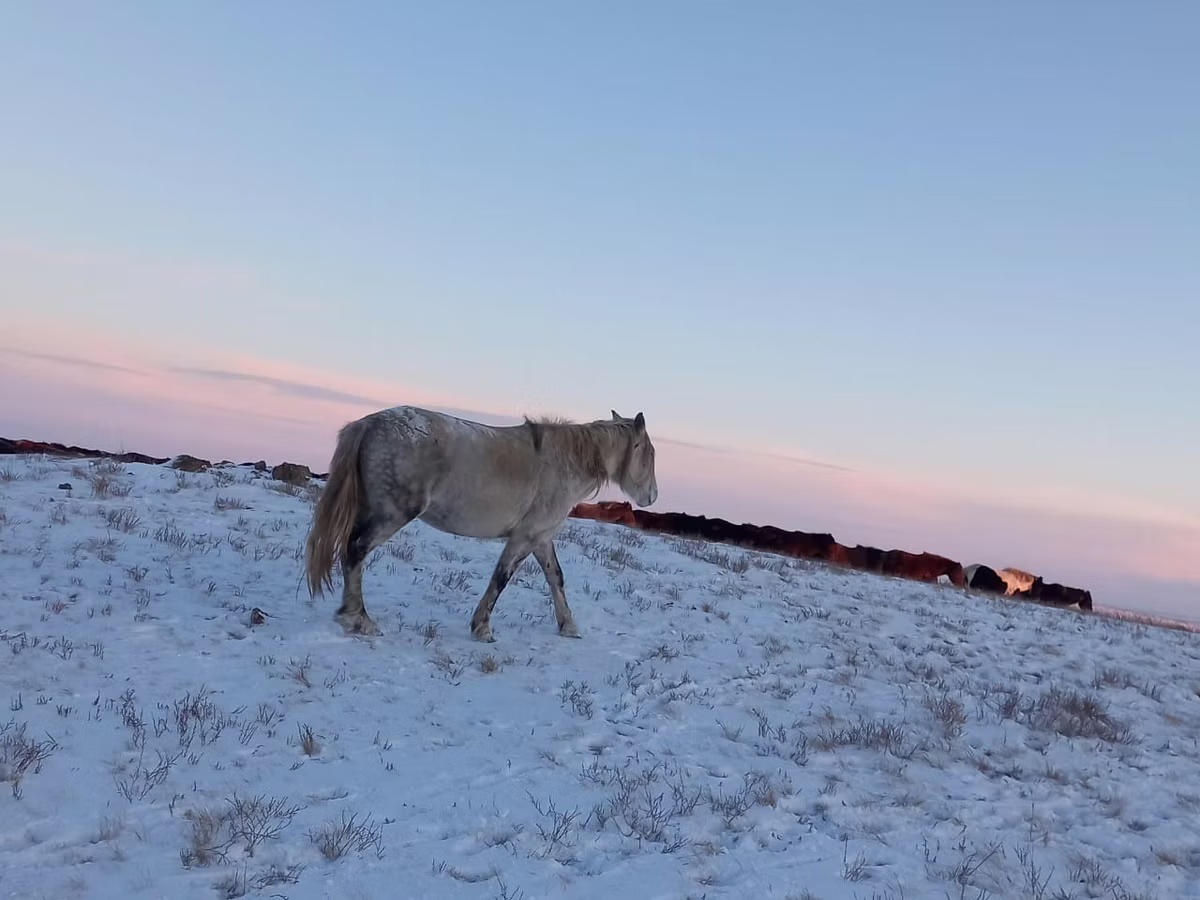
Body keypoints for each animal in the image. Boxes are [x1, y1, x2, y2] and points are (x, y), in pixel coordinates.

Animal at [304, 405, 658, 642]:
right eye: (650, 454)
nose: (653, 496)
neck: (563, 463)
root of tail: (368, 423)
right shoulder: (524, 537)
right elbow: (501, 578)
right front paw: (482, 628)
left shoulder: (541, 537)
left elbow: (555, 578)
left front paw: (568, 626)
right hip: (391, 515)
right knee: (355, 550)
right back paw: (358, 620)